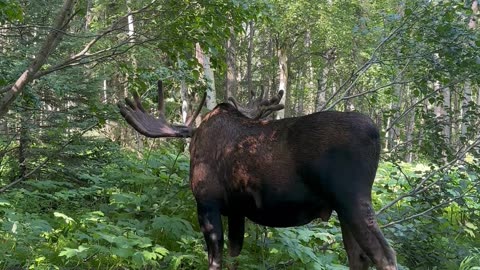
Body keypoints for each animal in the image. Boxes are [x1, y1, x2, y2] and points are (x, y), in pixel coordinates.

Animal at [119, 80, 398, 270]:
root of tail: (376, 134)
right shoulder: (236, 211)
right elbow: (234, 255)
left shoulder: (207, 201)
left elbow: (215, 259)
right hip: (344, 208)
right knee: (359, 257)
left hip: (351, 197)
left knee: (384, 255)